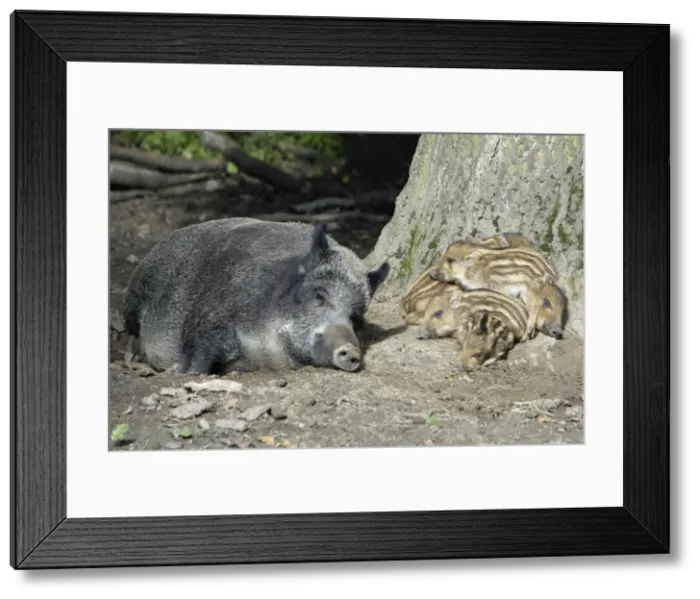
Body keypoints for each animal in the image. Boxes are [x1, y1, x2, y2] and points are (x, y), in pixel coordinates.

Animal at [122, 218, 390, 375]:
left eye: (355, 317)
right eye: (319, 296)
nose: (351, 350)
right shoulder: (212, 316)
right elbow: (199, 358)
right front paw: (180, 372)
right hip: (134, 298)